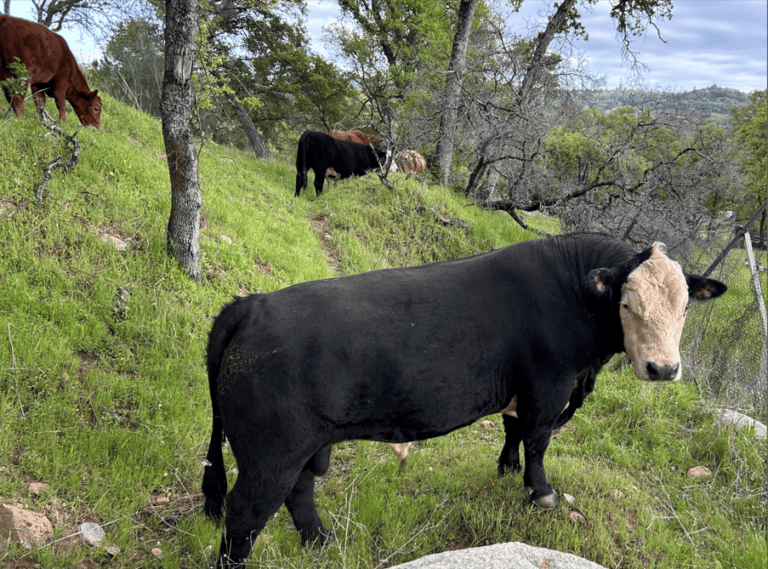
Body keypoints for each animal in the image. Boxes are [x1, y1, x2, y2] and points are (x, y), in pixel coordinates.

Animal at [202, 232, 726, 568]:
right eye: (626, 303)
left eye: (684, 307)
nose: (663, 368)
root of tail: (251, 304)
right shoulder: (548, 386)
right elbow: (538, 440)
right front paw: (540, 490)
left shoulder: (522, 389)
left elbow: (514, 429)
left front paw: (507, 467)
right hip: (272, 452)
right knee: (246, 513)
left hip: (304, 445)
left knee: (300, 492)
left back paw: (322, 542)